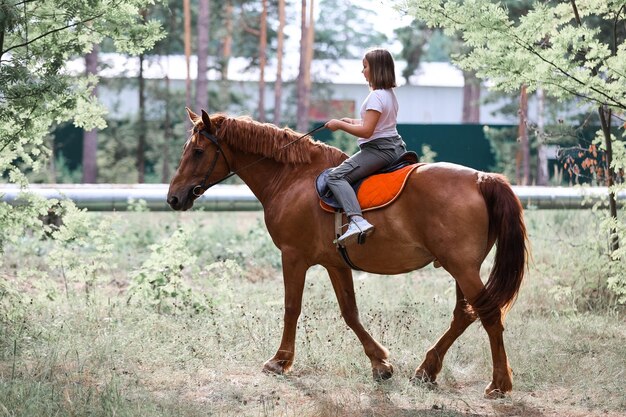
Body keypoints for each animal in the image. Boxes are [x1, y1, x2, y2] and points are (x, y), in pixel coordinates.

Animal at [167, 108, 528, 396]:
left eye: (197, 151)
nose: (174, 198)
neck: (292, 178)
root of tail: (482, 178)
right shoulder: (335, 264)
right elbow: (350, 313)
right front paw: (380, 363)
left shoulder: (293, 256)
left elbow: (292, 308)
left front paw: (280, 361)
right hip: (461, 267)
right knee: (465, 314)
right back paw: (427, 370)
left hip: (462, 267)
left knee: (488, 314)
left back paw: (499, 383)